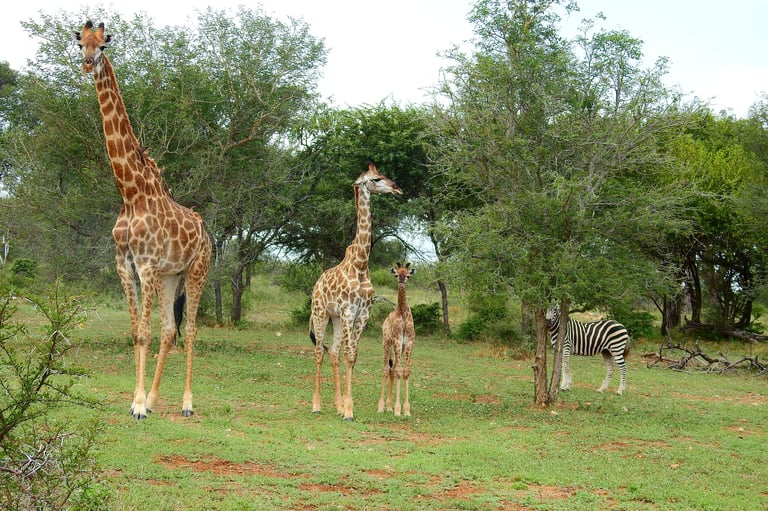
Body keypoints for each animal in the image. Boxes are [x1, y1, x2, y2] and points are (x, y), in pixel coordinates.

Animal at [75, 21, 211, 419]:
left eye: (103, 45)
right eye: (80, 42)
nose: (88, 63)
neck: (130, 192)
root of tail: (205, 229)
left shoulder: (147, 264)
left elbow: (146, 333)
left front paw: (136, 406)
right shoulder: (124, 263)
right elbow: (138, 332)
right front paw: (139, 402)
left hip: (196, 271)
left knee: (190, 330)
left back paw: (186, 404)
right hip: (171, 276)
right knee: (169, 329)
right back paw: (153, 399)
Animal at [310, 162, 402, 421]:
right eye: (376, 179)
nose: (397, 188)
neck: (361, 264)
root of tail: (316, 284)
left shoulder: (361, 315)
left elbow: (353, 355)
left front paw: (346, 407)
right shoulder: (349, 311)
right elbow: (350, 355)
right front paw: (349, 411)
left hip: (336, 318)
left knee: (333, 352)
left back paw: (337, 404)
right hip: (321, 313)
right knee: (319, 351)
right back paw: (316, 405)